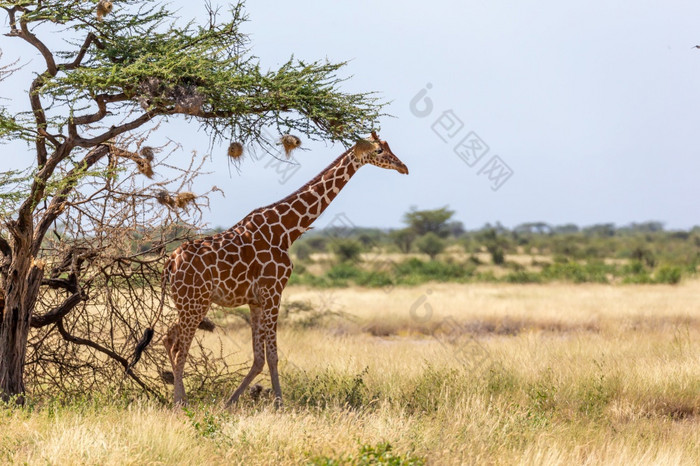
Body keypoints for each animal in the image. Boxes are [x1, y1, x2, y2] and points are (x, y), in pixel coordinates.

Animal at [144, 132, 404, 408]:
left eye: (388, 147)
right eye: (379, 151)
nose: (403, 167)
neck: (286, 231)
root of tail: (169, 264)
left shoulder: (256, 300)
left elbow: (259, 358)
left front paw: (230, 403)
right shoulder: (273, 292)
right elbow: (273, 355)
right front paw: (280, 404)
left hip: (187, 304)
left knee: (168, 340)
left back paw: (181, 399)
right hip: (195, 303)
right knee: (180, 349)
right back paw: (180, 405)